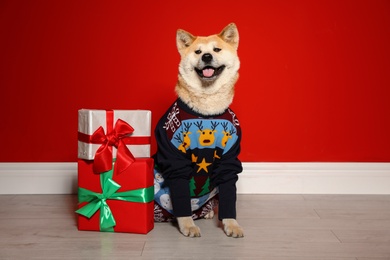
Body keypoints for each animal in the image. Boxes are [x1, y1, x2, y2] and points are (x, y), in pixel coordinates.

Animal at [153, 22, 242, 238]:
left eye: (216, 50)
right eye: (198, 52)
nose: (207, 57)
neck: (207, 112)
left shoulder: (229, 159)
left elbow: (229, 192)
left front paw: (231, 224)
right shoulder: (175, 159)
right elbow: (181, 196)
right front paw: (187, 225)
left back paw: (207, 211)